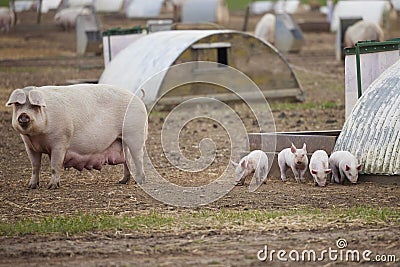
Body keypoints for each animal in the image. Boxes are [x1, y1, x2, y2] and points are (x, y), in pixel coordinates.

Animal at [6, 85, 148, 189]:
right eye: (18, 105)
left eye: (34, 106)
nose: (23, 115)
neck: (37, 136)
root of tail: (138, 97)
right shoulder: (29, 146)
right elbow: (35, 166)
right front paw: (31, 186)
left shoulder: (60, 143)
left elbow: (55, 165)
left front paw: (52, 187)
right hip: (123, 140)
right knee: (127, 160)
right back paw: (122, 181)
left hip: (135, 135)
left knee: (138, 159)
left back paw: (139, 182)